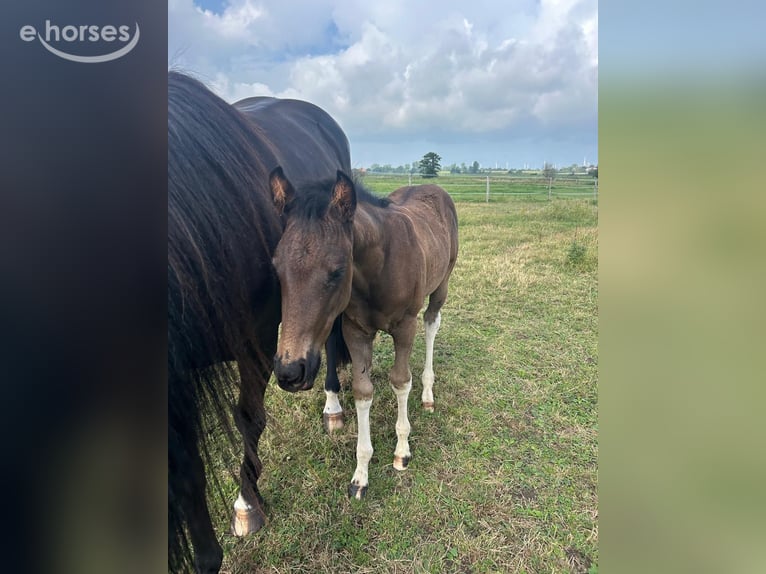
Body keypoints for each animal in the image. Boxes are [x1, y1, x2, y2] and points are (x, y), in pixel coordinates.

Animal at [268, 168, 459, 499]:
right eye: (277, 268)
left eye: (337, 271)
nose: (290, 372)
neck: (378, 268)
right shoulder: (355, 330)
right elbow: (362, 391)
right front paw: (360, 475)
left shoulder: (404, 327)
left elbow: (401, 381)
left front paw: (402, 451)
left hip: (442, 283)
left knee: (432, 322)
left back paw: (428, 394)